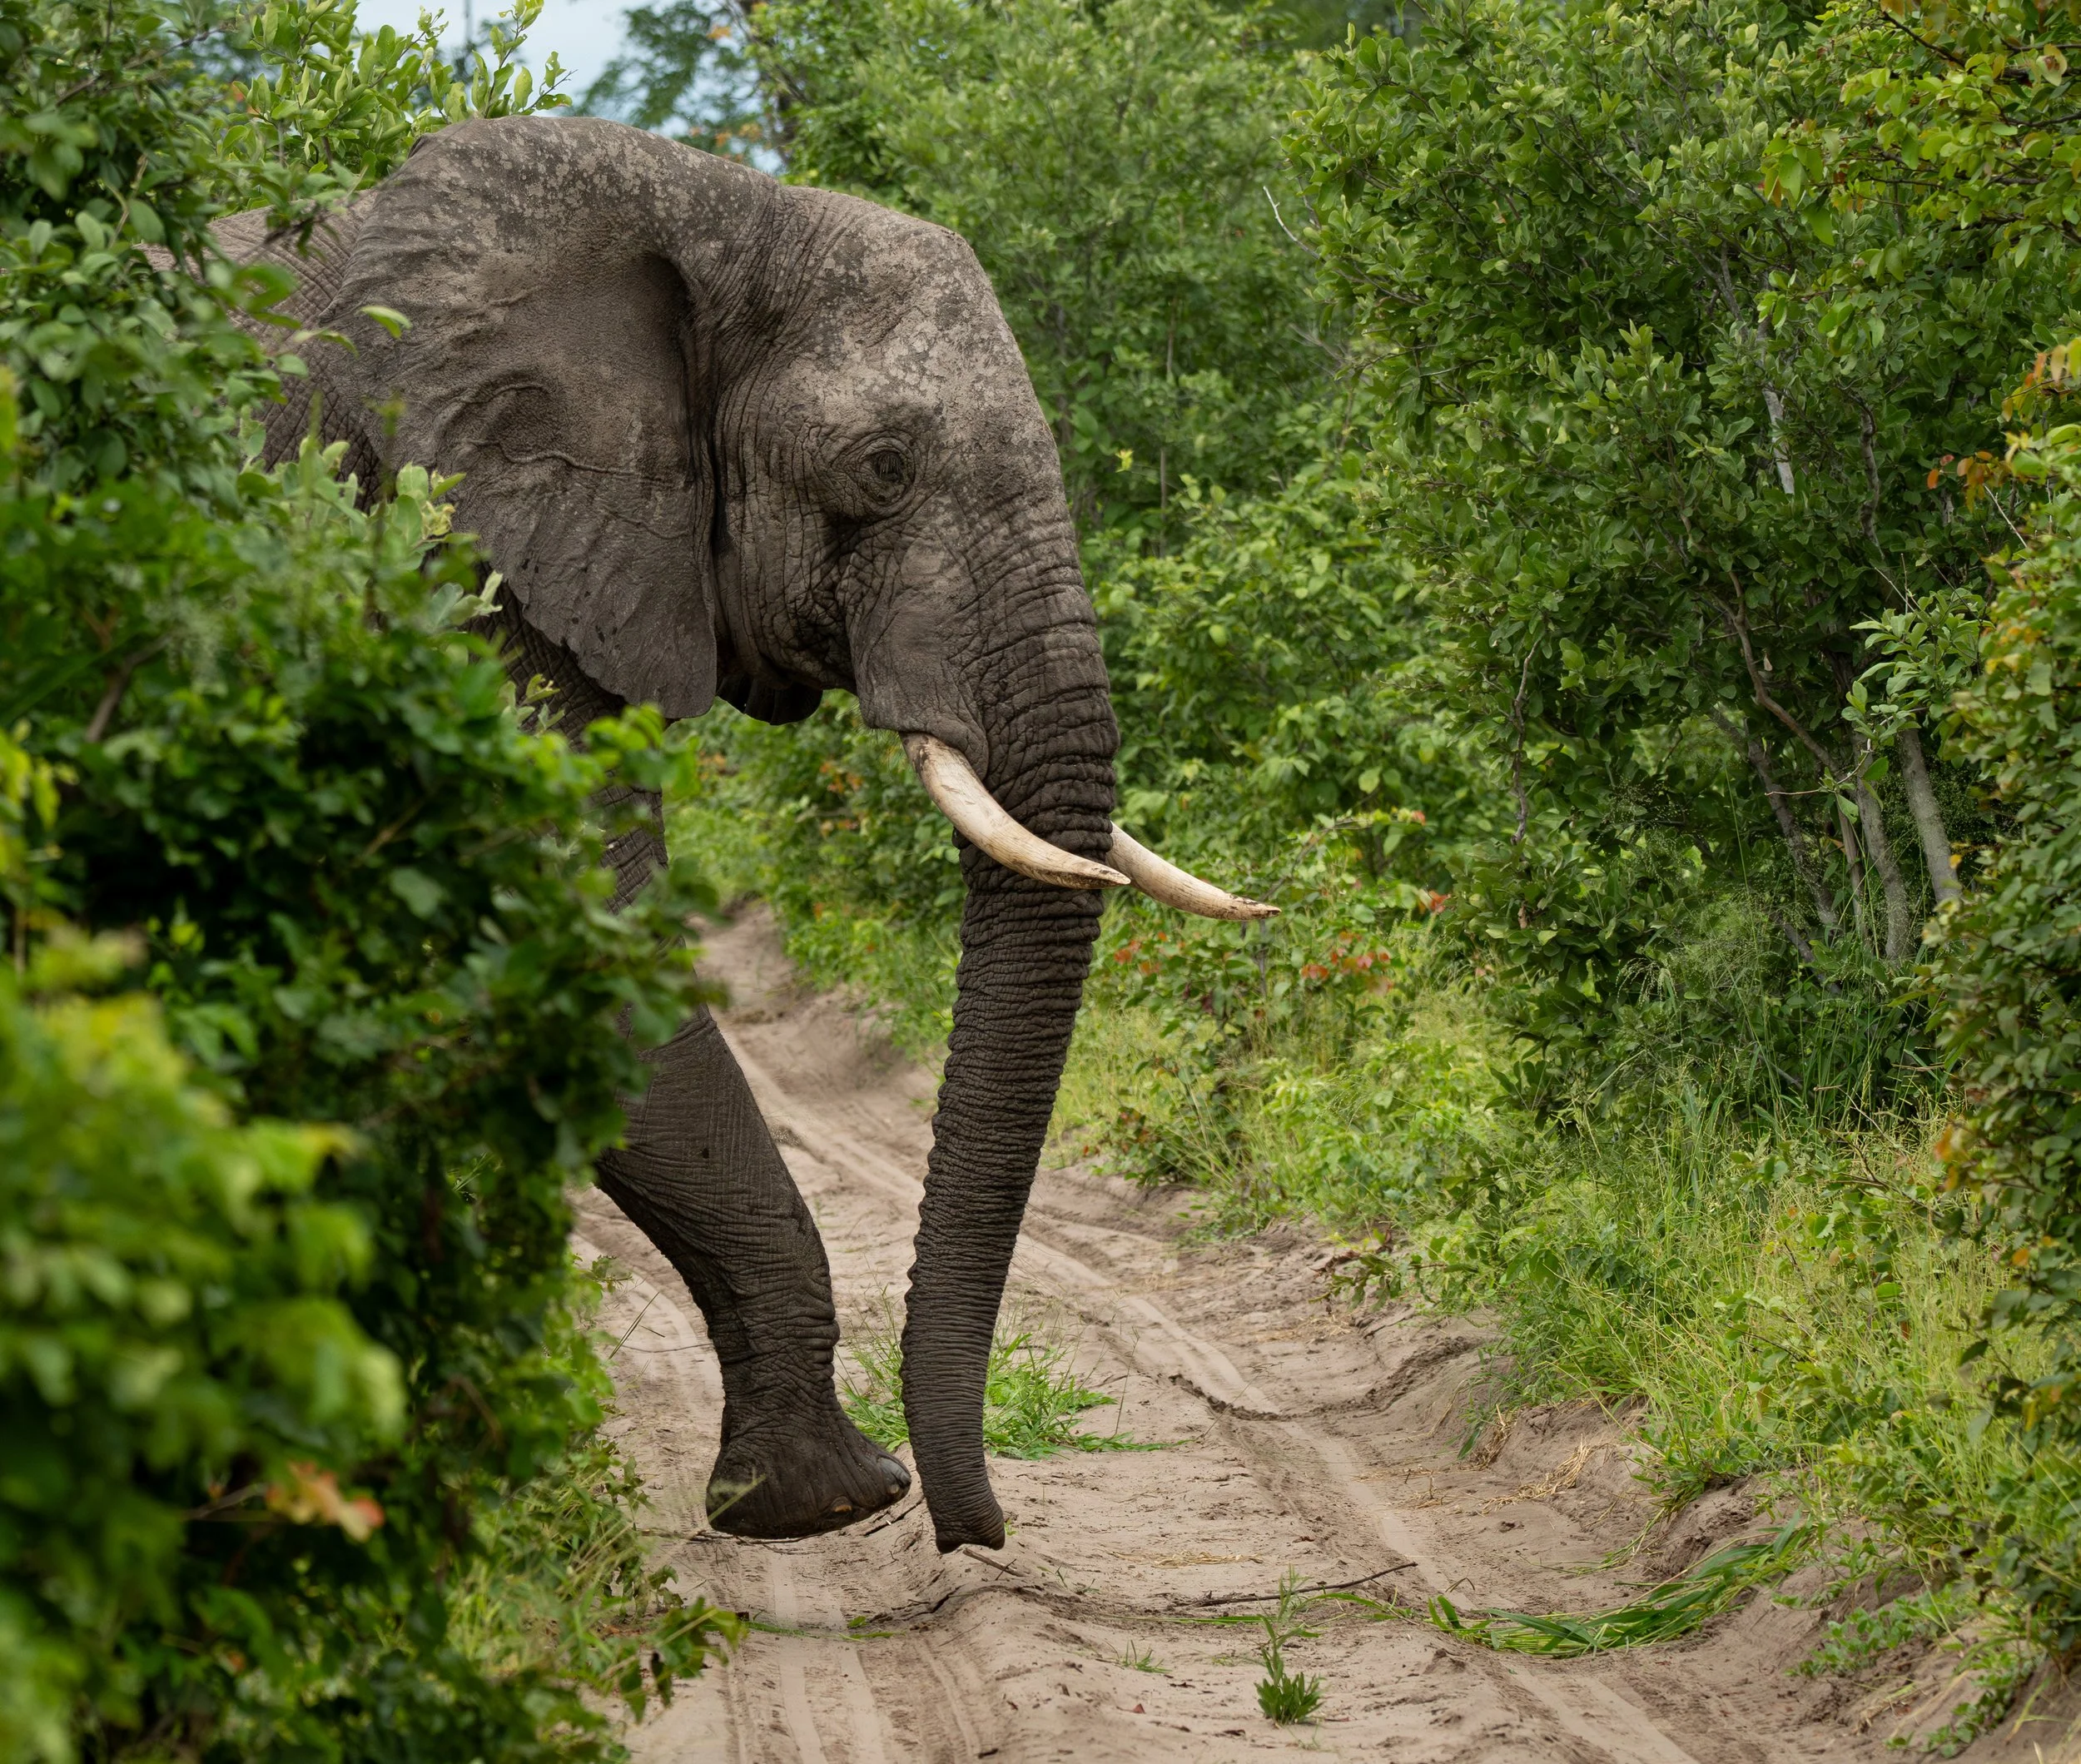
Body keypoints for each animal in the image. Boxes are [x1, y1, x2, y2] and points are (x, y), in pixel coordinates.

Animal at [216, 115, 1271, 1553]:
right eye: (883, 469)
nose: (978, 1530)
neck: (718, 203)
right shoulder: (448, 527)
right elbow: (575, 933)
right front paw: (829, 1501)